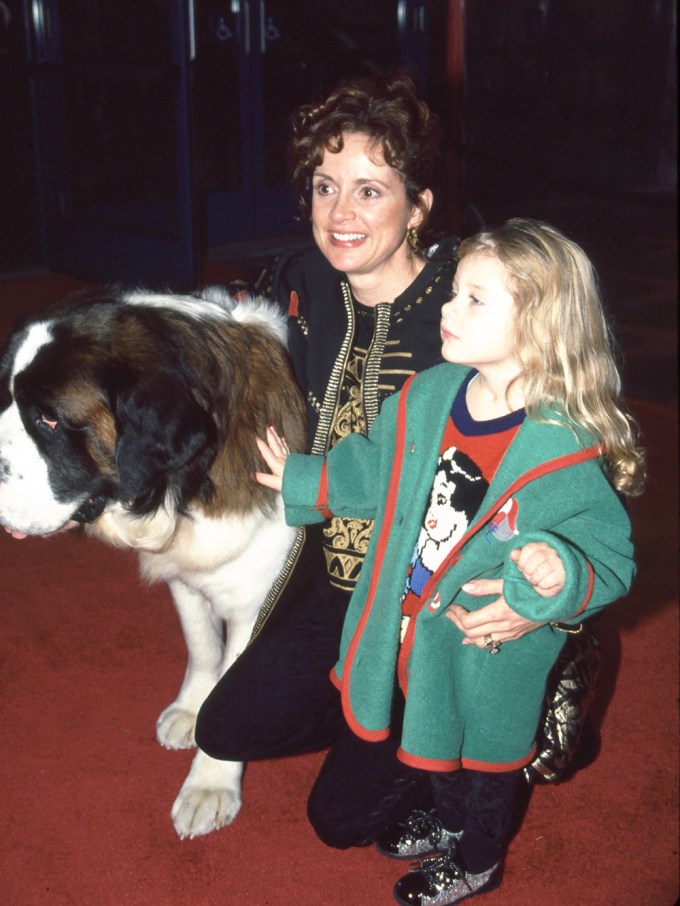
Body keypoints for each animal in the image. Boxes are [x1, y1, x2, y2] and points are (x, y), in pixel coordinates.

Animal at [0, 286, 306, 836]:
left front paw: (210, 784)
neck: (188, 488)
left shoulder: (258, 601)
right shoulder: (185, 574)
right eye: (10, 399)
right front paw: (191, 707)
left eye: (50, 420)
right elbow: (202, 644)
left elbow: (232, 687)